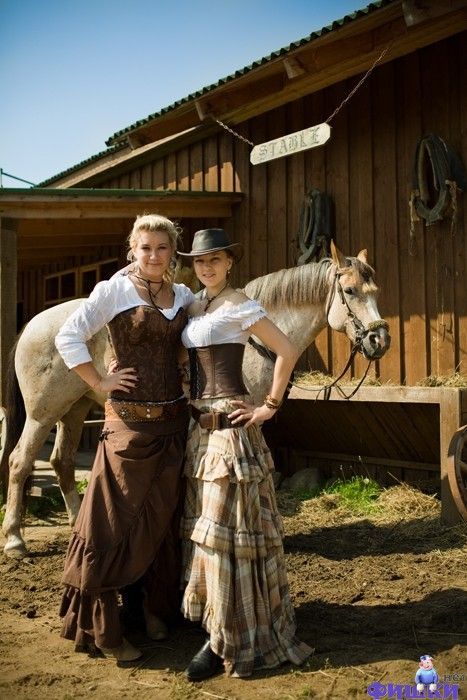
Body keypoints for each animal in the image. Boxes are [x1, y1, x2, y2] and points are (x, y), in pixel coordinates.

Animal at [0, 242, 392, 556]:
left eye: (375, 290)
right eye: (350, 290)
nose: (380, 340)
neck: (253, 337)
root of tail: (31, 325)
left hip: (74, 409)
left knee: (62, 462)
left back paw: (75, 525)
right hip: (42, 414)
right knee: (20, 462)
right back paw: (15, 540)